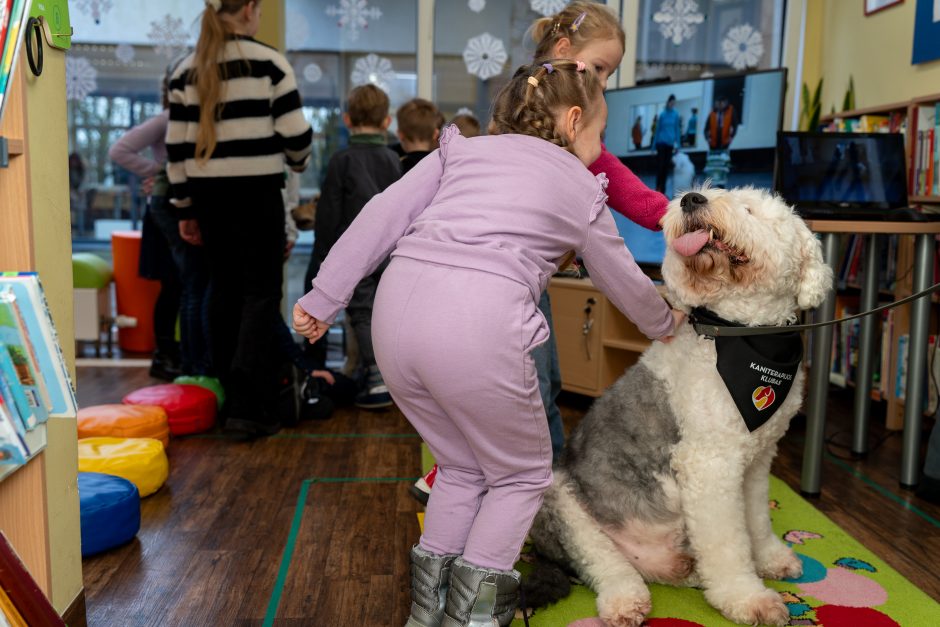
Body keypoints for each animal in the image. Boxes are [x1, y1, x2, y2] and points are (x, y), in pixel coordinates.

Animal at [532, 186, 832, 627]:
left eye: (749, 209)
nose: (692, 198)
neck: (738, 333)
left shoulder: (757, 461)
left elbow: (756, 517)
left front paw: (770, 557)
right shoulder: (710, 466)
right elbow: (728, 541)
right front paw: (746, 597)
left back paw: (688, 570)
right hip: (560, 497)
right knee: (600, 561)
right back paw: (625, 599)